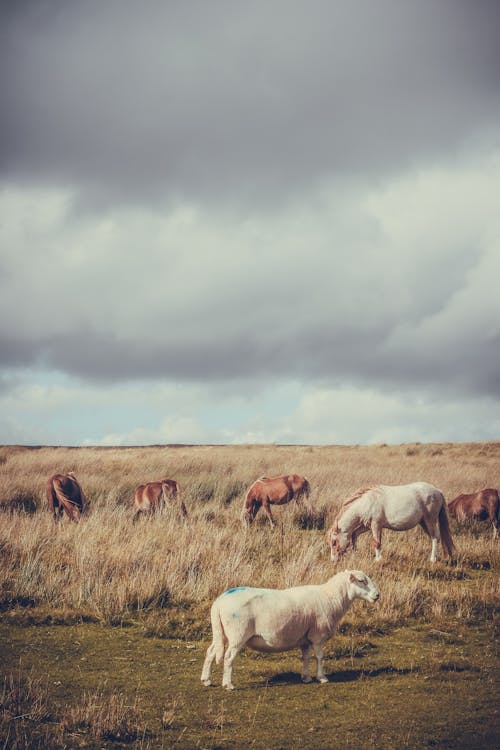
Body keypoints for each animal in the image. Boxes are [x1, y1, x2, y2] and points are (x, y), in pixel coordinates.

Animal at [199, 572, 378, 692]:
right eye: (361, 581)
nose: (377, 595)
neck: (331, 598)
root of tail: (220, 602)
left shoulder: (305, 638)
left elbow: (306, 657)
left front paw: (306, 678)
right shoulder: (318, 635)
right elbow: (319, 657)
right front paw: (322, 678)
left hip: (221, 633)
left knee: (210, 652)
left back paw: (206, 680)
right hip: (238, 634)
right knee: (228, 657)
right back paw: (228, 684)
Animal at [326, 482, 456, 564]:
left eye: (334, 542)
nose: (333, 560)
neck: (367, 502)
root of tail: (437, 491)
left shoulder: (376, 525)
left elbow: (377, 543)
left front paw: (378, 559)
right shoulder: (367, 526)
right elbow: (354, 536)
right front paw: (354, 555)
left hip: (430, 520)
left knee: (435, 537)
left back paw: (433, 559)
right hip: (423, 522)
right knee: (434, 538)